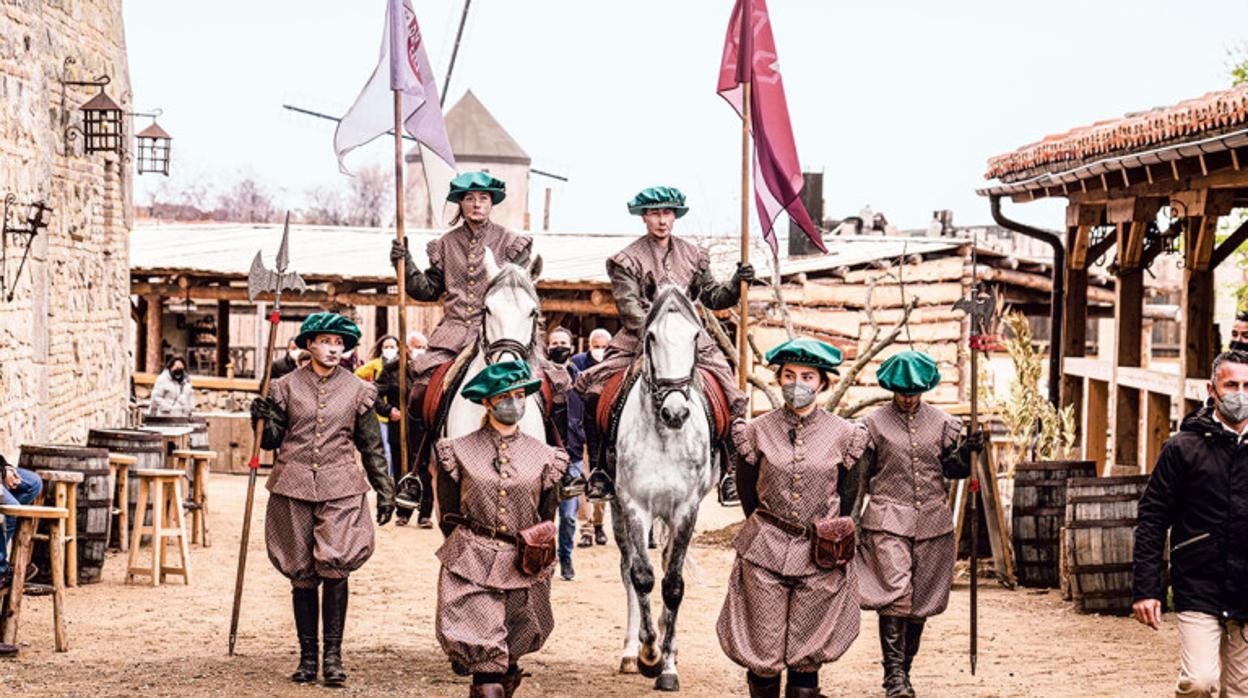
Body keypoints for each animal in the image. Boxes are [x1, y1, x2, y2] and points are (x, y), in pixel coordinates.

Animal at [611, 284, 718, 694]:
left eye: (695, 336)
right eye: (652, 337)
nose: (676, 413)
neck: (663, 434)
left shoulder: (686, 509)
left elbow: (673, 584)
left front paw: (668, 666)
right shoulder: (633, 505)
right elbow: (641, 577)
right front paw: (648, 655)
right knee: (627, 569)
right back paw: (631, 652)